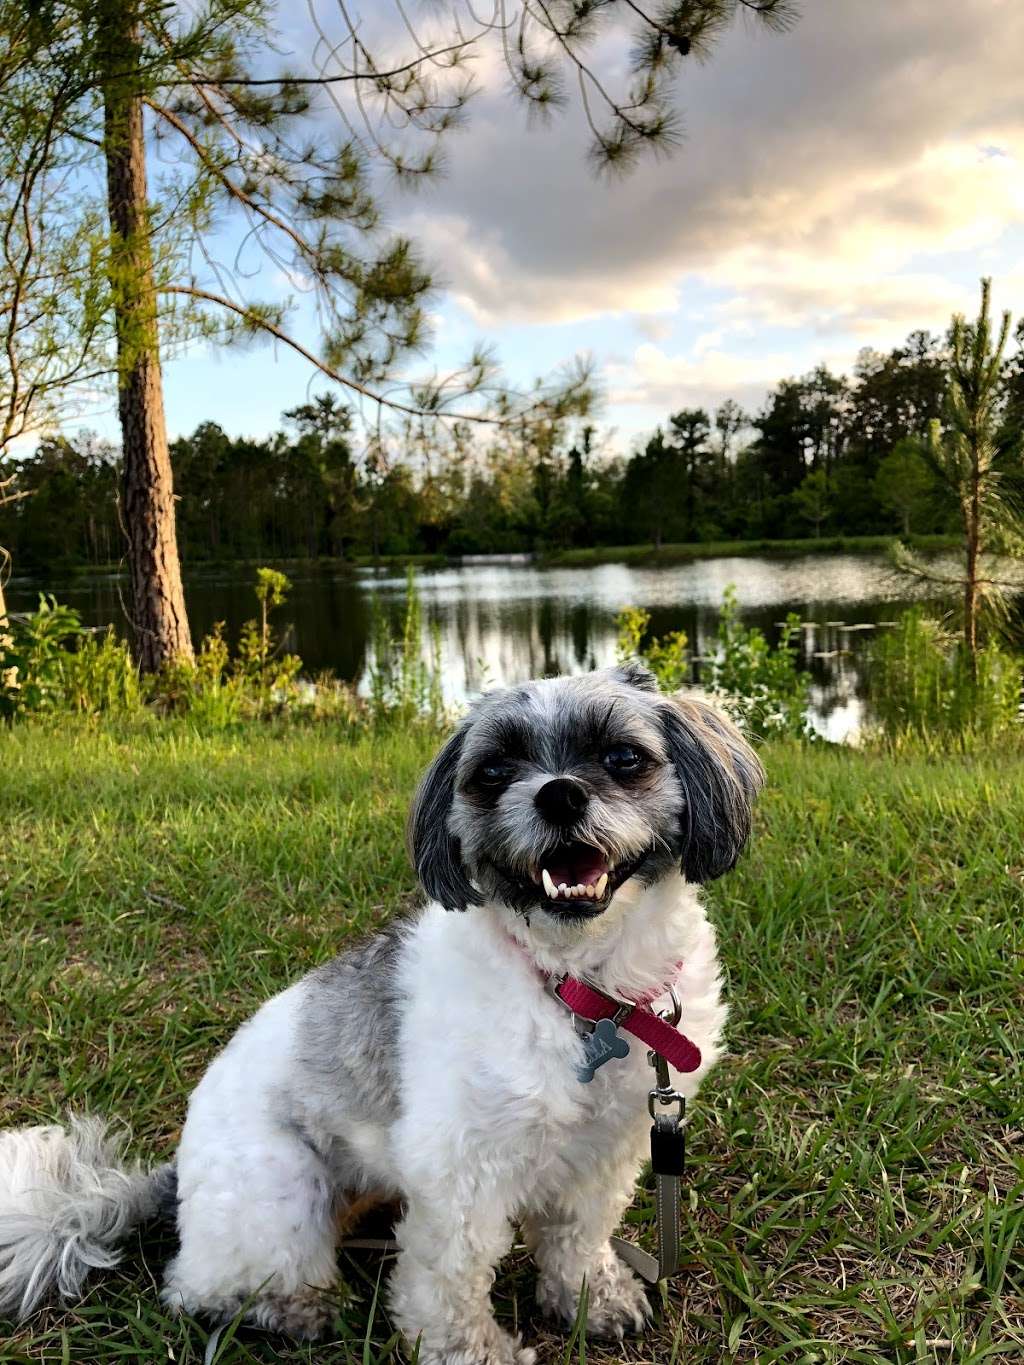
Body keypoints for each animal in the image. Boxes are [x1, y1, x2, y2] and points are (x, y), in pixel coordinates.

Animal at [0, 663, 764, 1365]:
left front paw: (589, 1298)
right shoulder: (460, 1173)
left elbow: (578, 1234)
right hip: (283, 1185)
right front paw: (473, 1352)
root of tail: (176, 1176)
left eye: (623, 758)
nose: (558, 793)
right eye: (492, 772)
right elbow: (448, 1282)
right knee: (200, 1287)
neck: (579, 988)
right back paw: (295, 1309)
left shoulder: (609, 1146)